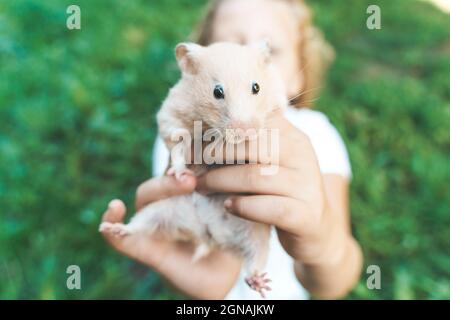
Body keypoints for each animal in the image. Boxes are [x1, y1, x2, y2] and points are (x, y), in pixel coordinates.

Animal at [99, 42, 288, 298]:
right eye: (217, 92)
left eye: (256, 87)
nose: (244, 132)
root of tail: (209, 235)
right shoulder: (170, 117)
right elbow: (178, 145)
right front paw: (180, 174)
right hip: (160, 211)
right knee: (138, 226)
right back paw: (114, 228)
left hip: (255, 234)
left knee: (254, 261)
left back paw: (259, 282)